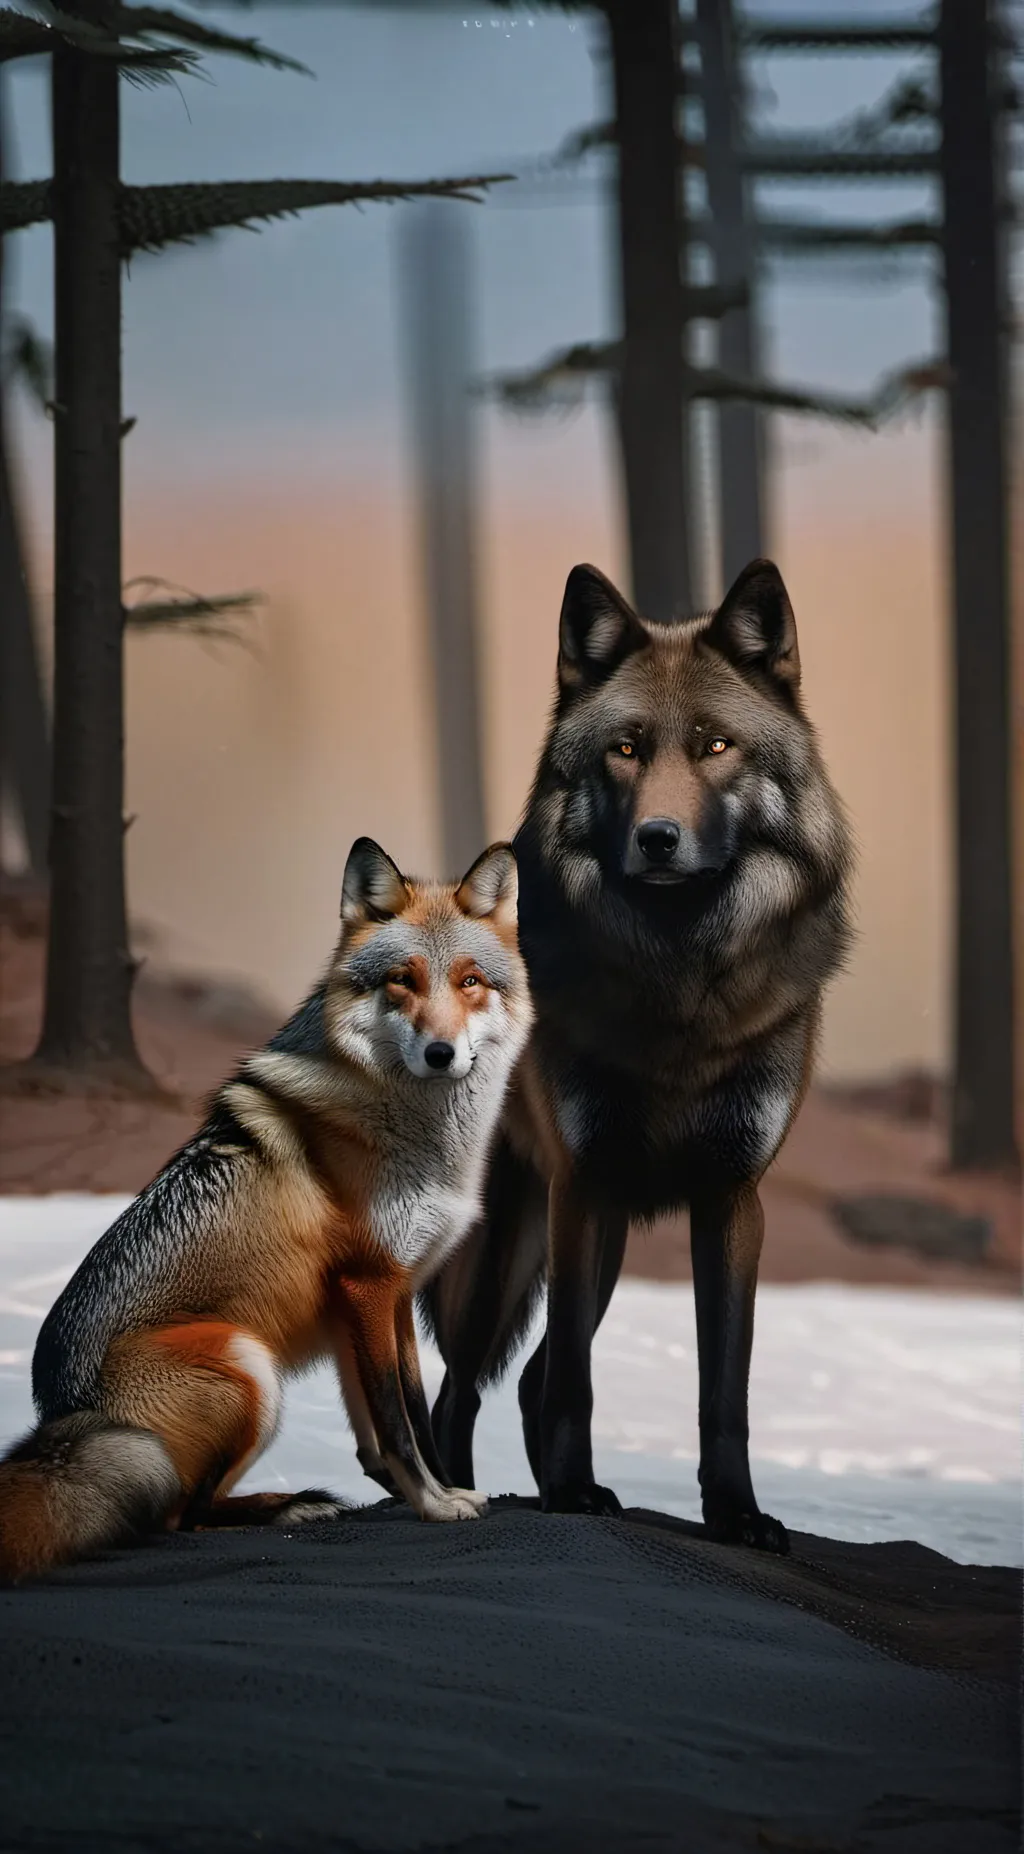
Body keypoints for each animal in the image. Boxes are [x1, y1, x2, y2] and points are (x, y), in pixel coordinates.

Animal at [0, 838, 532, 1582]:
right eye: (401, 980)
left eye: (470, 982)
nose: (440, 1053)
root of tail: (58, 1416)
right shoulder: (367, 1285)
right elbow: (396, 1425)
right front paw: (434, 1506)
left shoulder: (388, 1294)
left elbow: (402, 1422)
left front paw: (443, 1490)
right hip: (247, 1363)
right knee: (181, 1516)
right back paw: (290, 1507)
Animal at [423, 558, 853, 1552]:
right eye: (624, 750)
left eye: (715, 746)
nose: (659, 837)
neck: (680, 987)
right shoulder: (581, 1185)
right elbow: (575, 1382)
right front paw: (571, 1494)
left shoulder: (731, 1200)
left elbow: (722, 1390)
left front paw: (735, 1515)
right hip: (507, 1248)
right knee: (463, 1386)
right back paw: (461, 1493)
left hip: (606, 1237)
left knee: (529, 1375)